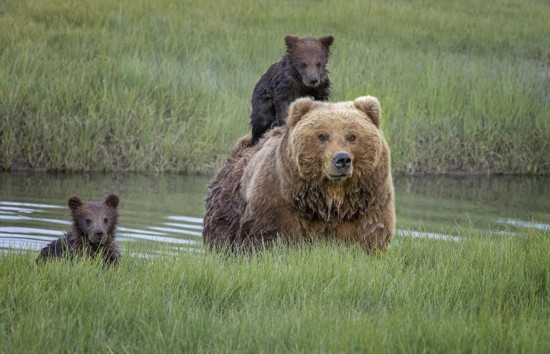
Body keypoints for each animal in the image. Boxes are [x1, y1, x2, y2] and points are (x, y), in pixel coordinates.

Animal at [204, 96, 396, 252]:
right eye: (322, 136)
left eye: (352, 136)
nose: (342, 159)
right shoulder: (277, 199)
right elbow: (270, 235)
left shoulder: (366, 203)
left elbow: (367, 236)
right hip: (227, 210)